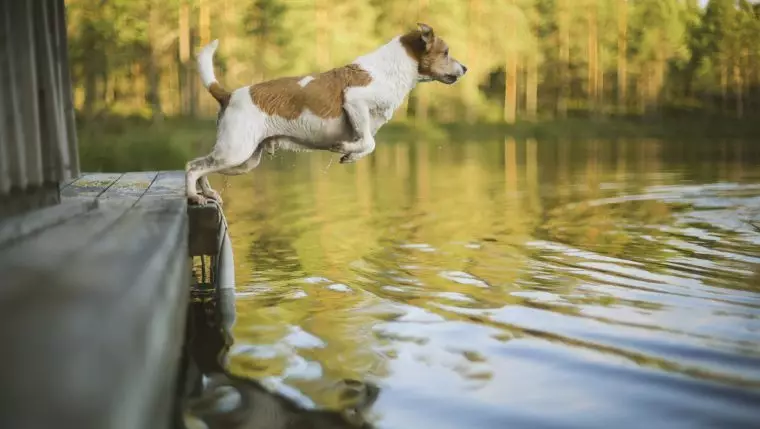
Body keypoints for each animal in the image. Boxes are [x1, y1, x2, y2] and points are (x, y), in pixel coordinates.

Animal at [186, 22, 466, 205]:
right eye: (446, 52)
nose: (465, 68)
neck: (390, 69)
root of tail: (229, 94)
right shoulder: (355, 102)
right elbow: (369, 142)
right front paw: (345, 149)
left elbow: (367, 145)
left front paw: (350, 155)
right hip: (235, 152)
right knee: (192, 168)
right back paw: (193, 196)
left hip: (242, 161)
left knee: (199, 166)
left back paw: (206, 193)